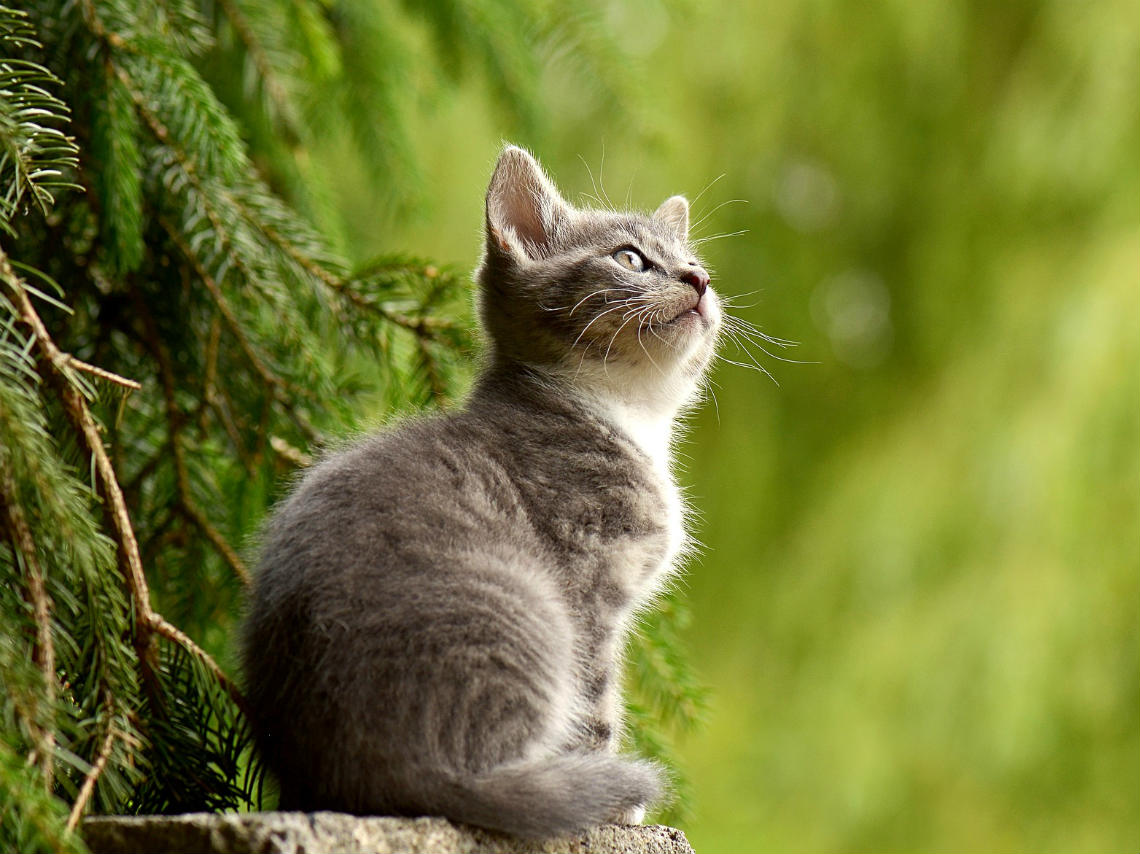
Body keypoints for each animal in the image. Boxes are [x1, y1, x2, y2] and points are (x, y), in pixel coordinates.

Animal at [242, 143, 720, 834]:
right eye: (630, 258)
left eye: (696, 263)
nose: (698, 281)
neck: (626, 413)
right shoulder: (588, 586)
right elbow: (595, 704)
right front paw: (614, 806)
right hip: (529, 612)